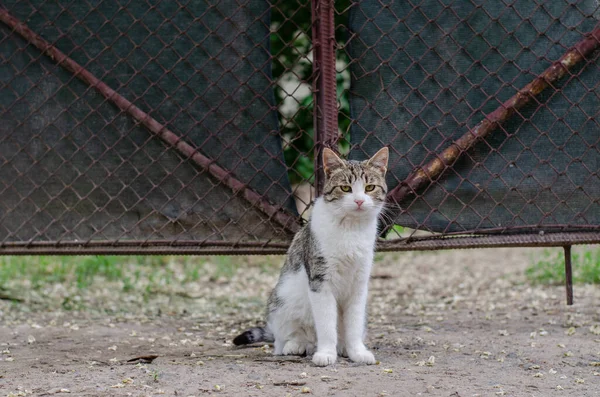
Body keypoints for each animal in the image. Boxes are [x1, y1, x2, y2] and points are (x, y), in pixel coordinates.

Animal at [232, 146, 392, 366]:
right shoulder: (320, 279)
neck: (350, 229)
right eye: (345, 188)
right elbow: (326, 323)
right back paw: (296, 345)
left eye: (369, 187)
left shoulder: (359, 283)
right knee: (282, 340)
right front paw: (326, 353)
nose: (359, 201)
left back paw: (342, 347)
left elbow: (354, 323)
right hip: (281, 300)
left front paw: (357, 351)